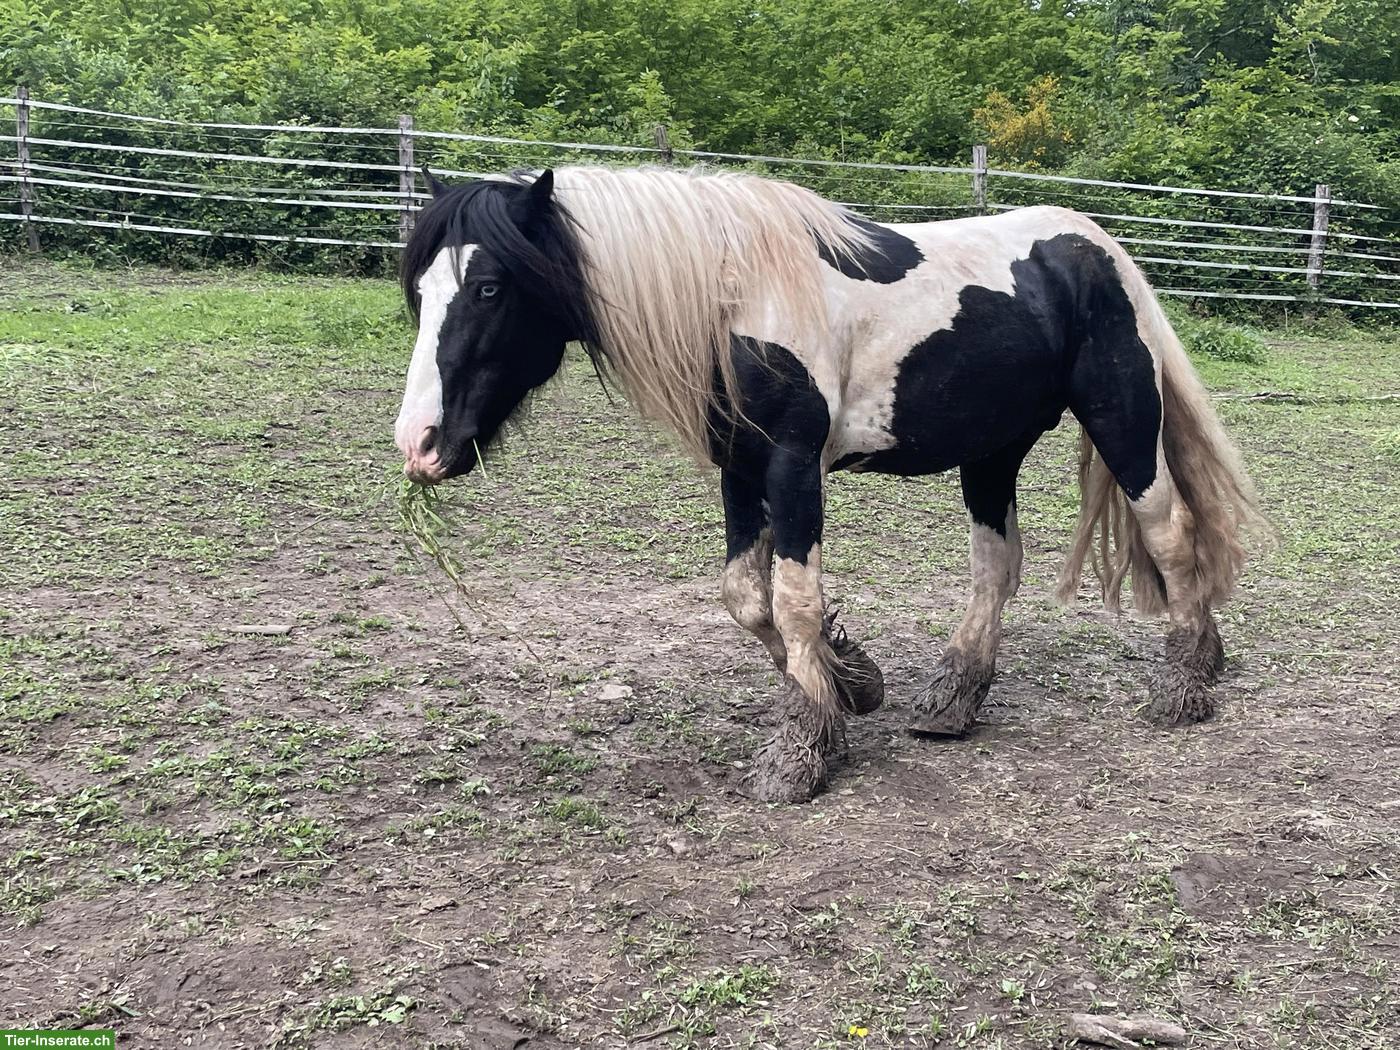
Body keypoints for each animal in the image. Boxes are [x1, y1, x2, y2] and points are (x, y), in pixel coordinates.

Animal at [393, 164, 1265, 803]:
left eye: (490, 287)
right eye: (419, 291)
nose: (420, 444)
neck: (736, 295)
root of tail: (1098, 248)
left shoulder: (791, 465)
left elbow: (795, 599)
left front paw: (802, 752)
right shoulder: (740, 470)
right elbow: (747, 598)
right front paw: (853, 685)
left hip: (1124, 422)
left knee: (1172, 536)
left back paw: (1185, 685)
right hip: (992, 452)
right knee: (996, 567)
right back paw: (954, 701)